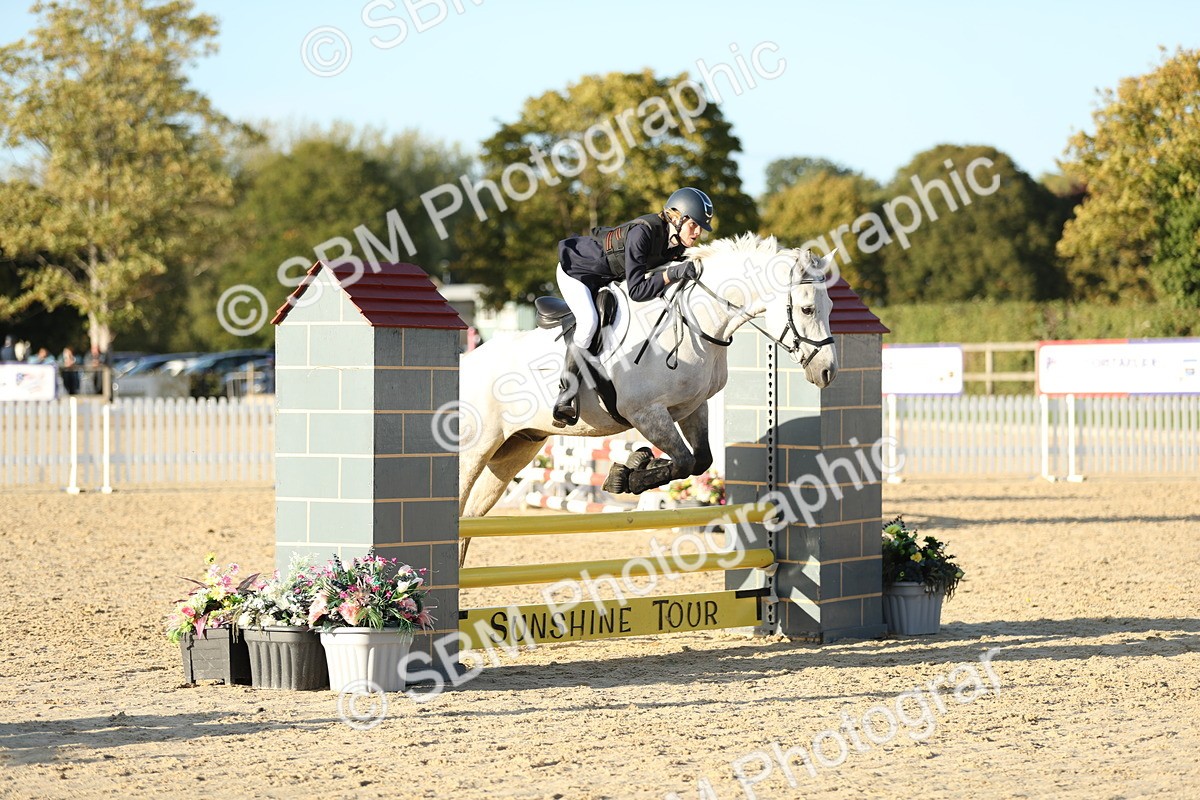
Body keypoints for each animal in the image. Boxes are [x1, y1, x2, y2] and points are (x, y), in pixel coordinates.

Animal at [457, 234, 839, 557]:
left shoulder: (692, 408)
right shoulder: (645, 412)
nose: (827, 372)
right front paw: (624, 476)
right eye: (807, 309)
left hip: (515, 449)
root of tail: (466, 362)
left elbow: (700, 460)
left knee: (470, 518)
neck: (694, 322)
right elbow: (684, 461)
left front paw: (634, 465)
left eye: (832, 307)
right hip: (475, 449)